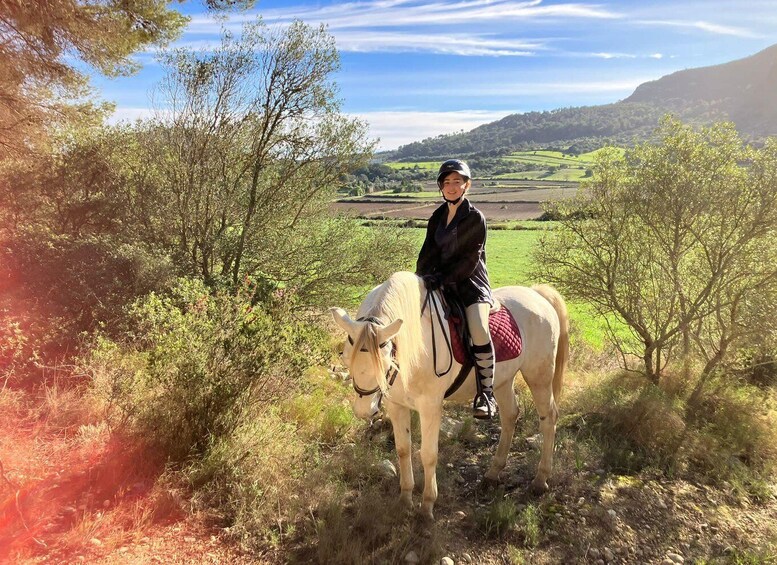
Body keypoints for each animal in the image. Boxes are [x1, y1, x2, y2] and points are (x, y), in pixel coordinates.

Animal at [328, 270, 568, 520]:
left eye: (386, 363)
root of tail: (537, 294)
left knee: (548, 418)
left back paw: (540, 480)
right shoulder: (396, 405)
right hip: (503, 380)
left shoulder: (430, 407)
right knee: (510, 415)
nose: (364, 410)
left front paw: (426, 508)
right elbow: (403, 450)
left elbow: (428, 454)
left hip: (539, 377)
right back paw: (492, 474)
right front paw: (405, 500)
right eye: (345, 357)